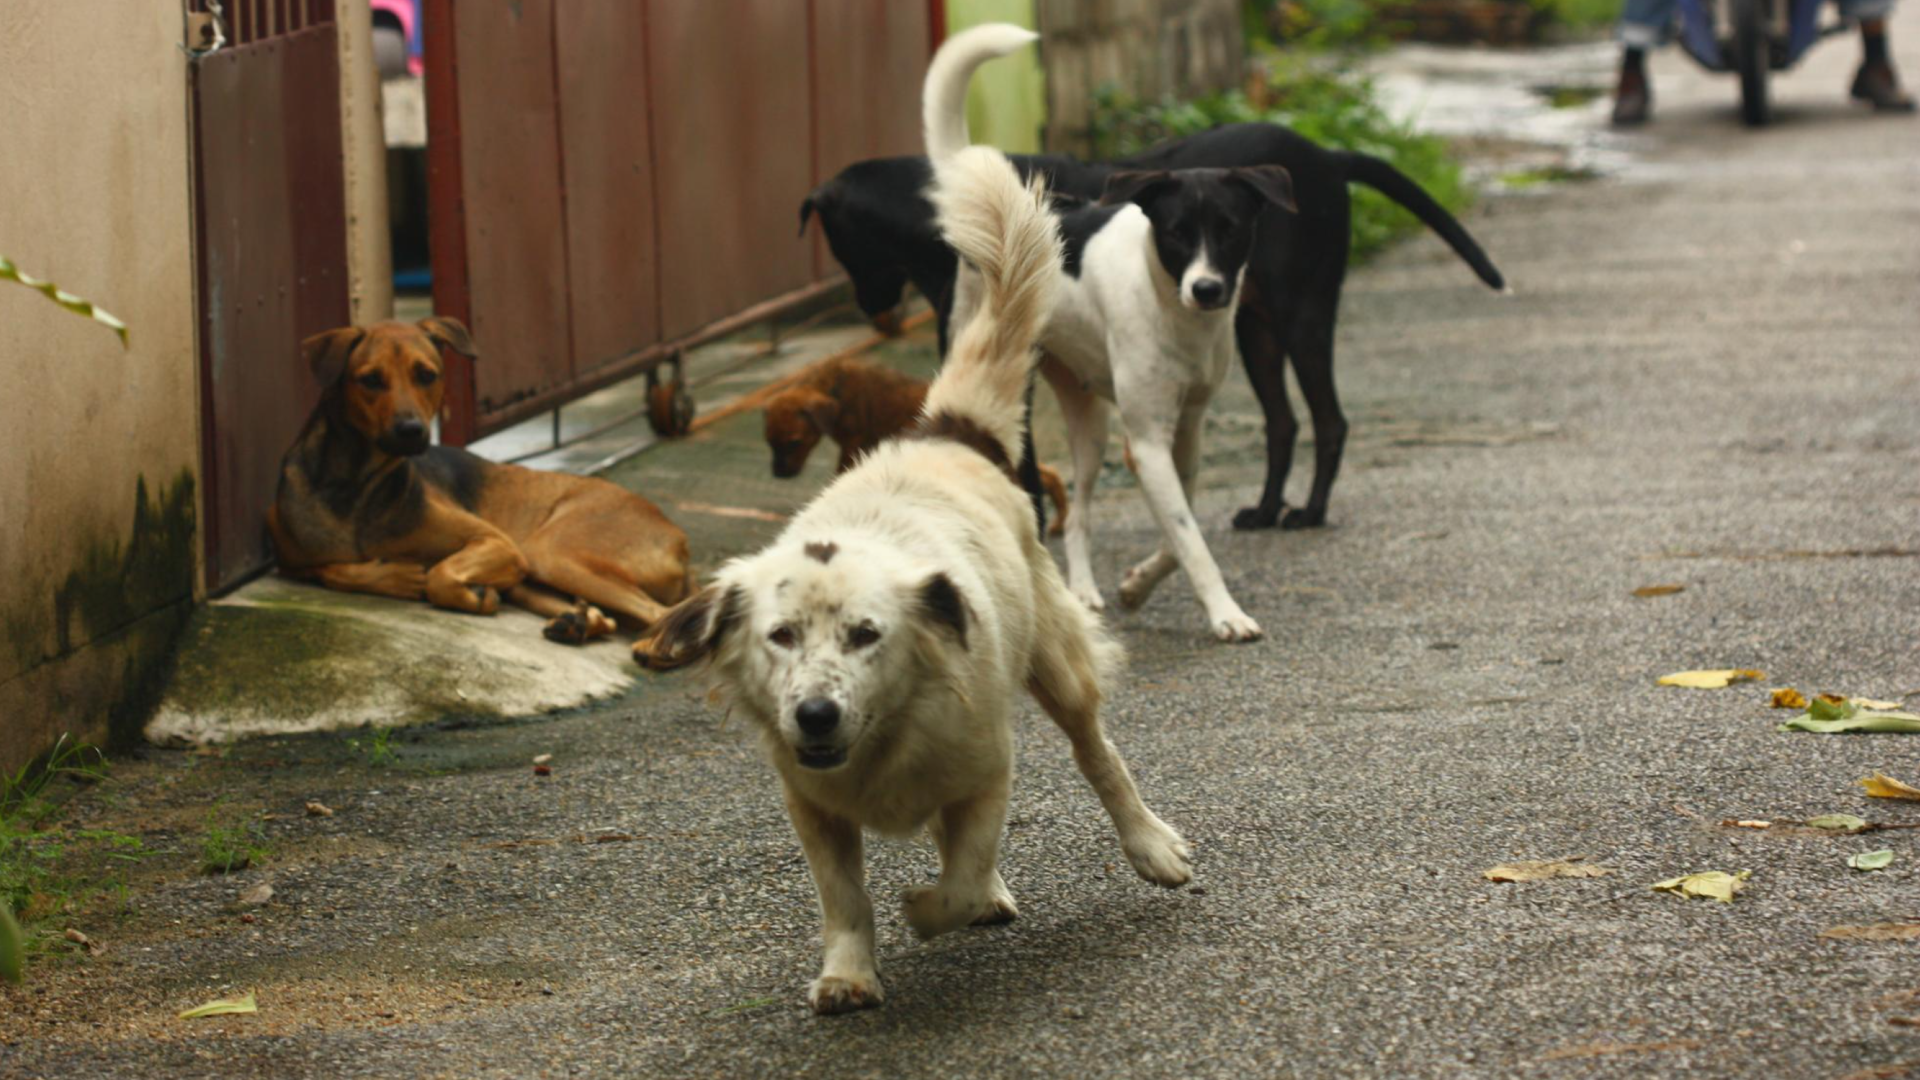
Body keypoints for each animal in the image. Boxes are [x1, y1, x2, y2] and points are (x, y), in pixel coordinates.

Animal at [266, 317, 695, 638]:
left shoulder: (497, 542)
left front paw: (458, 590)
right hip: (535, 575)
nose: (412, 431)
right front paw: (396, 576)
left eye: (426, 375)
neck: (358, 486)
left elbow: (440, 575)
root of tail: (678, 537)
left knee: (658, 614)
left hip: (547, 551)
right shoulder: (291, 563)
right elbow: (333, 570)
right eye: (370, 379)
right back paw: (577, 622)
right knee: (609, 618)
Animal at [760, 357, 1075, 530]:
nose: (777, 473)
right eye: (770, 443)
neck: (834, 386)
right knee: (1050, 475)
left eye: (793, 442)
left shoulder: (852, 446)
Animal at [802, 72, 1505, 534]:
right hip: (1256, 331)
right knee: (1283, 421)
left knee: (1329, 420)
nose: (871, 310)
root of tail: (1325, 155)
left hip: (1301, 316)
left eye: (839, 242)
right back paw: (1266, 509)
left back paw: (1308, 512)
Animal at [925, 23, 1290, 638]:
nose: (1207, 290)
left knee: (1080, 510)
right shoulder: (1146, 439)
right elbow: (1191, 541)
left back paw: (1084, 589)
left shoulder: (1184, 430)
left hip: (1089, 421)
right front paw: (1226, 613)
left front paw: (1138, 584)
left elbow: (1181, 529)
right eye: (1175, 232)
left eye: (1231, 229)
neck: (1171, 307)